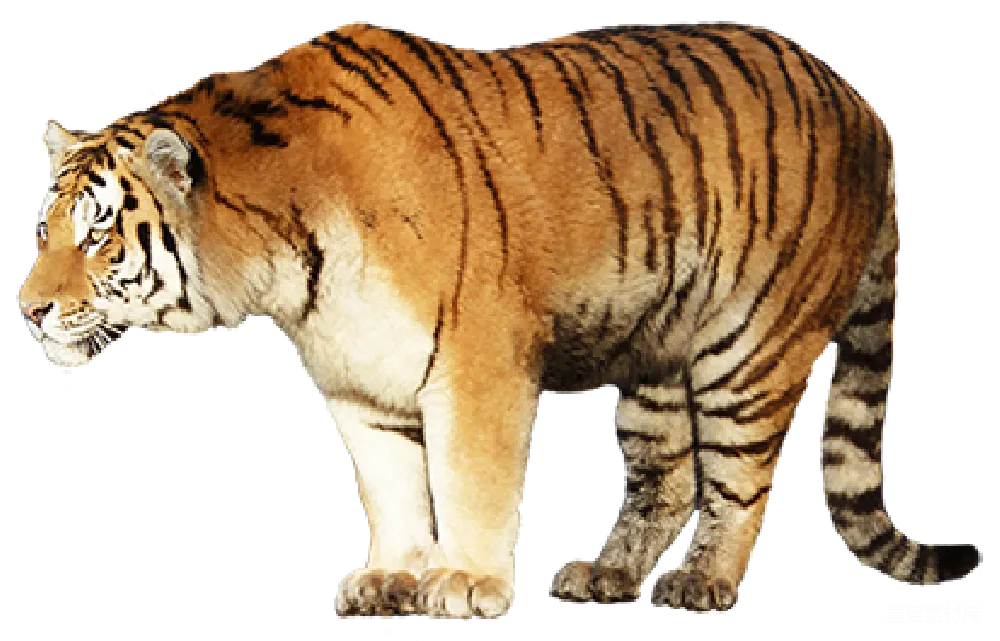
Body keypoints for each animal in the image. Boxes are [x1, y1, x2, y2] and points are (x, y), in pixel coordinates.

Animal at [20, 20, 983, 619]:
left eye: (98, 232)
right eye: (46, 229)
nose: (29, 308)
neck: (287, 260)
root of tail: (861, 101)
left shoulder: (474, 361)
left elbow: (467, 480)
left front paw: (467, 582)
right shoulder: (358, 385)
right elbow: (394, 489)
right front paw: (391, 579)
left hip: (749, 344)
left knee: (741, 480)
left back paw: (703, 580)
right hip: (654, 353)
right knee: (666, 477)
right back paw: (606, 572)